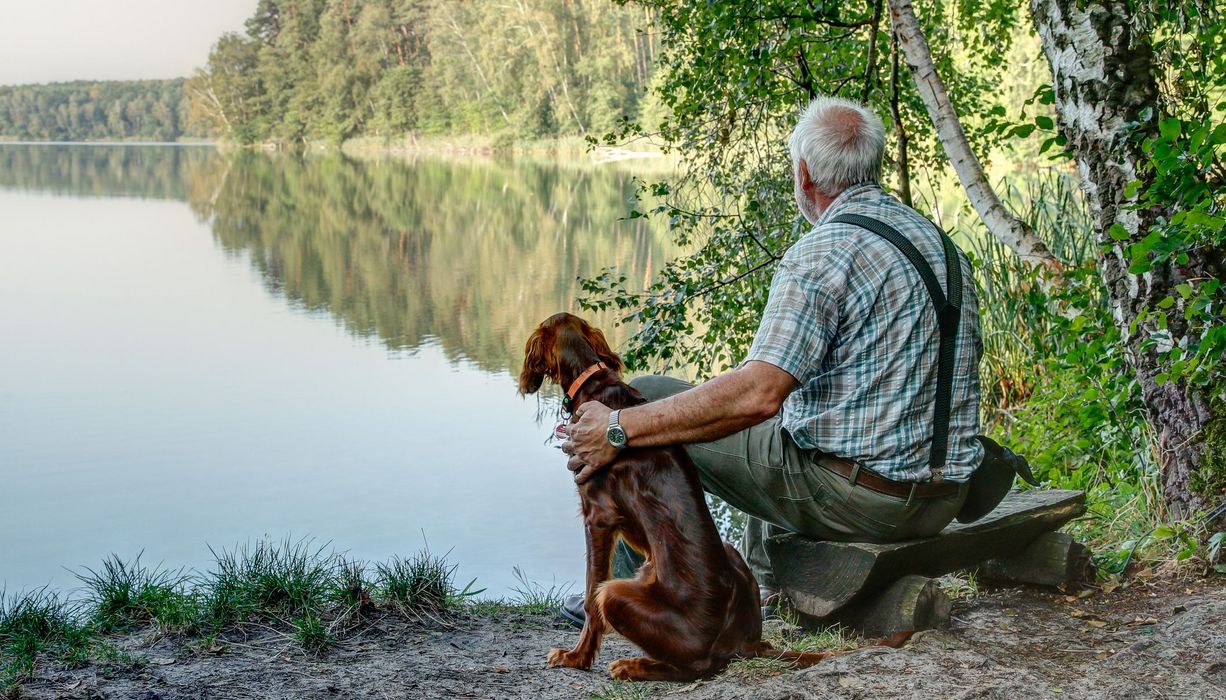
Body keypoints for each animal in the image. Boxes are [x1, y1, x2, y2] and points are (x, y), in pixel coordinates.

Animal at [517, 313, 912, 681]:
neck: (592, 381)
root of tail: (743, 643)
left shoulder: (598, 517)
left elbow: (590, 596)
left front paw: (576, 658)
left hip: (616, 594)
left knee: (695, 667)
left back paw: (636, 665)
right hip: (729, 551)